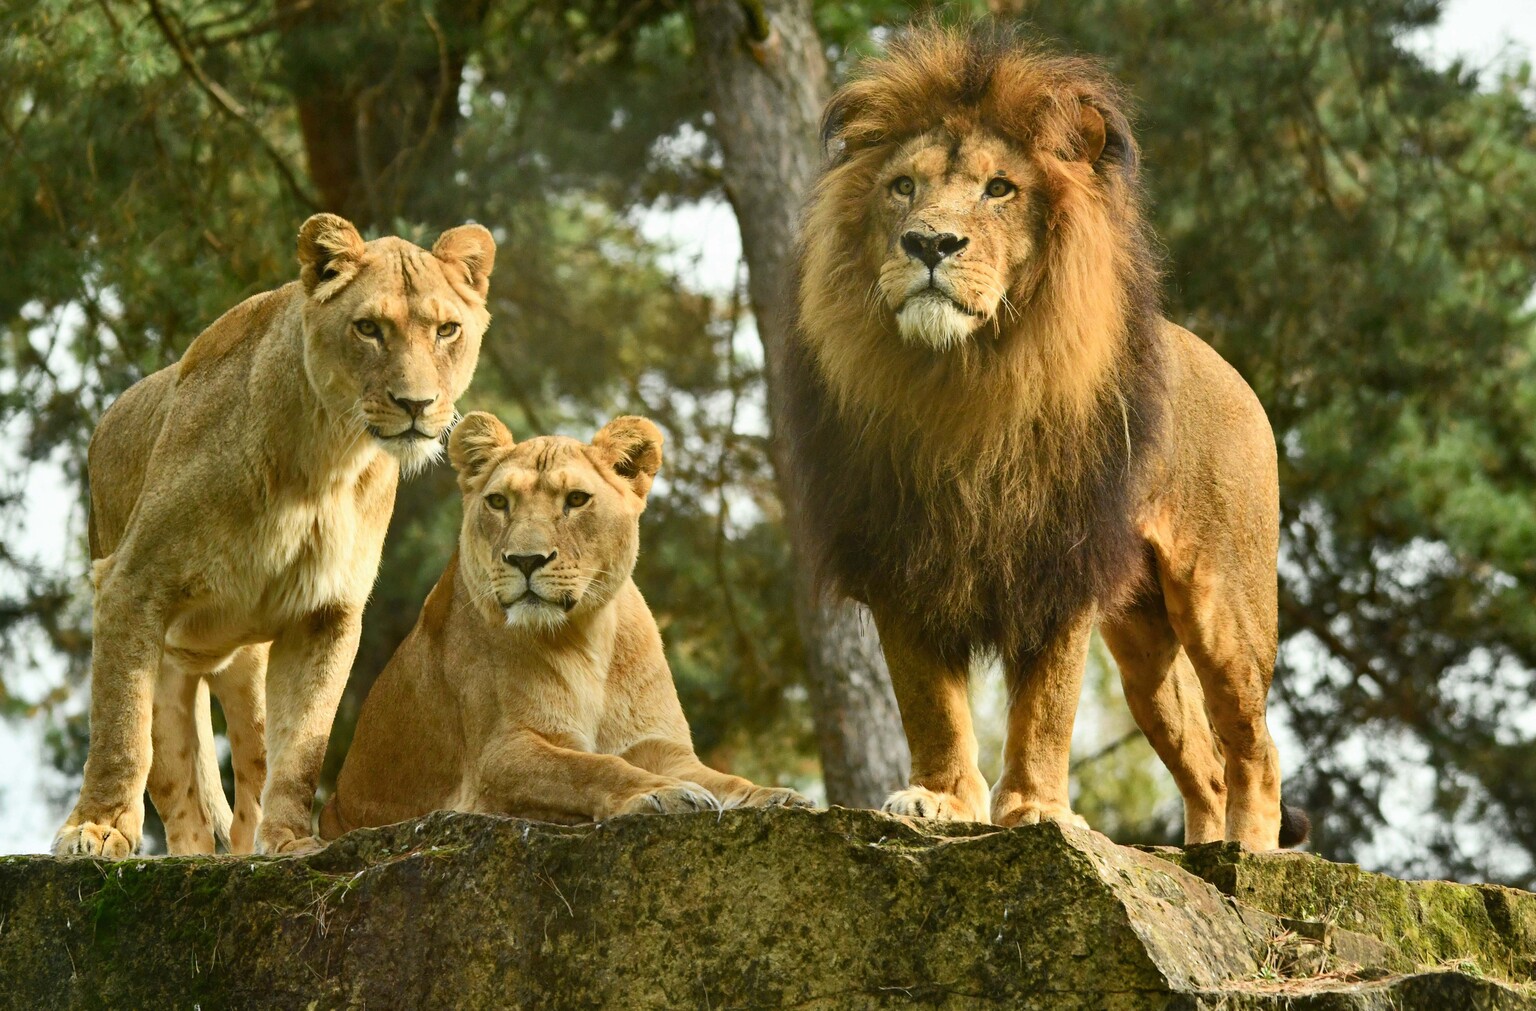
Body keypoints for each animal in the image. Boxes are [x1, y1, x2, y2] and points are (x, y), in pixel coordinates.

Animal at [54, 216, 494, 854]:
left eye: (447, 330)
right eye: (368, 328)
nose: (416, 404)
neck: (325, 462)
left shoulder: (325, 612)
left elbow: (303, 742)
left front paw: (289, 840)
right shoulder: (129, 586)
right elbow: (118, 729)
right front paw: (96, 829)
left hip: (251, 673)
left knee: (248, 783)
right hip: (162, 671)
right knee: (179, 796)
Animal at [317, 408, 811, 829]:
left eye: (576, 499)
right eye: (498, 501)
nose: (525, 560)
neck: (588, 640)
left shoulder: (659, 745)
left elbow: (723, 778)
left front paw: (771, 795)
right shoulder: (500, 755)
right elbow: (592, 767)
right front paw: (663, 794)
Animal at [780, 23, 1308, 848]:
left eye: (1001, 189)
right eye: (902, 186)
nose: (928, 243)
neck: (964, 382)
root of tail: (1232, 371)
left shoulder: (1060, 558)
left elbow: (1046, 707)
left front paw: (1036, 809)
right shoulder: (900, 556)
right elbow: (929, 702)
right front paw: (940, 799)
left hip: (1224, 607)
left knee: (1254, 747)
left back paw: (1248, 853)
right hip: (1144, 648)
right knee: (1205, 760)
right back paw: (1201, 851)